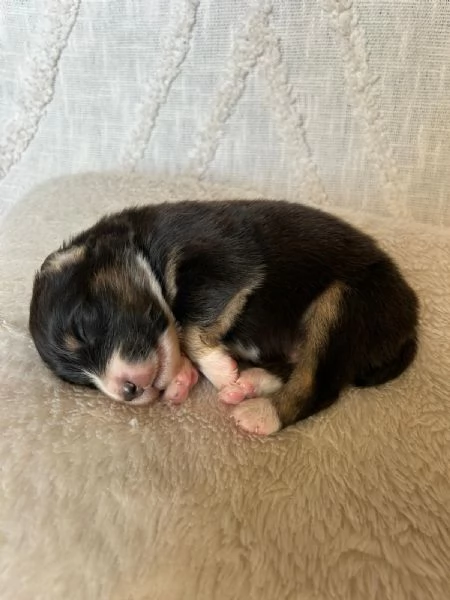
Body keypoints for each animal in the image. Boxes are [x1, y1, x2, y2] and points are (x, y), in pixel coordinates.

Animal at [29, 199, 418, 434]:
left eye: (83, 328)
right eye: (82, 382)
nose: (126, 392)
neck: (145, 248)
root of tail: (410, 321)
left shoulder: (224, 263)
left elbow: (188, 326)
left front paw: (218, 371)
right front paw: (183, 378)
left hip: (344, 302)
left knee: (317, 383)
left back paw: (261, 413)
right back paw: (249, 383)